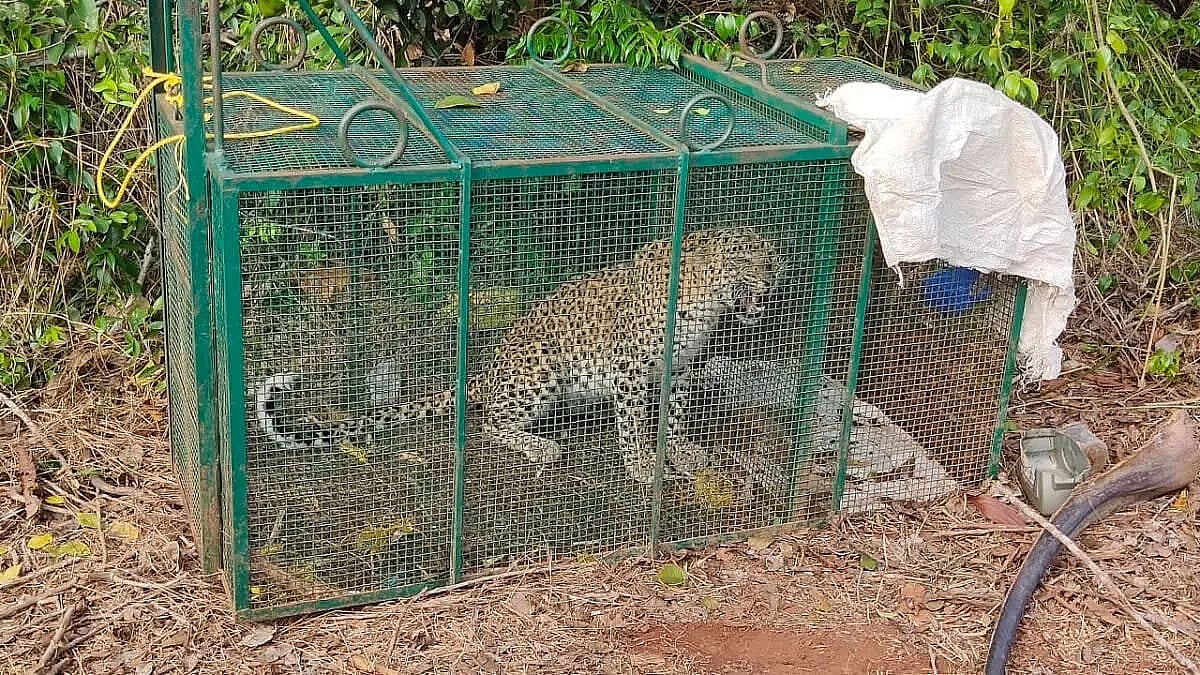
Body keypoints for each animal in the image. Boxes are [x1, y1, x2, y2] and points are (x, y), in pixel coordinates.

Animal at [254, 226, 783, 488]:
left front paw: (683, 449)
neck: (709, 301)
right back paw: (542, 447)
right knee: (489, 420)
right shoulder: (630, 369)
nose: (772, 280)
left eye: (773, 258)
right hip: (539, 364)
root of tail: (482, 374)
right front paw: (642, 467)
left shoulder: (682, 366)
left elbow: (675, 414)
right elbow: (633, 426)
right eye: (745, 259)